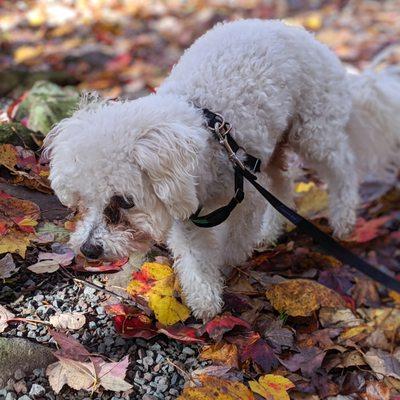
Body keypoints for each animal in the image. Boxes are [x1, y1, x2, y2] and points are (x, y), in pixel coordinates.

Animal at [44, 18, 400, 320]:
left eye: (125, 201)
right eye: (83, 202)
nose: (89, 250)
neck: (208, 136)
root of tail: (305, 35)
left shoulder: (244, 195)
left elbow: (233, 242)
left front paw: (224, 266)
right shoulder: (187, 210)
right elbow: (193, 255)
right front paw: (204, 297)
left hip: (314, 131)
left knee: (343, 170)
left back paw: (343, 219)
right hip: (270, 150)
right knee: (282, 184)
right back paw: (271, 231)